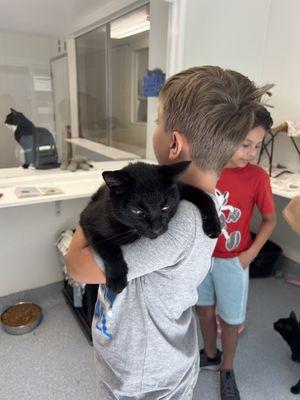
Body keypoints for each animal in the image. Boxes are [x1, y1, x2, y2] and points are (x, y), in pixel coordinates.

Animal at [81, 160, 221, 294]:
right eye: (137, 211)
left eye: (165, 208)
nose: (156, 229)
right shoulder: (88, 219)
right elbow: (109, 249)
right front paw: (117, 279)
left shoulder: (179, 188)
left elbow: (202, 195)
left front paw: (214, 224)